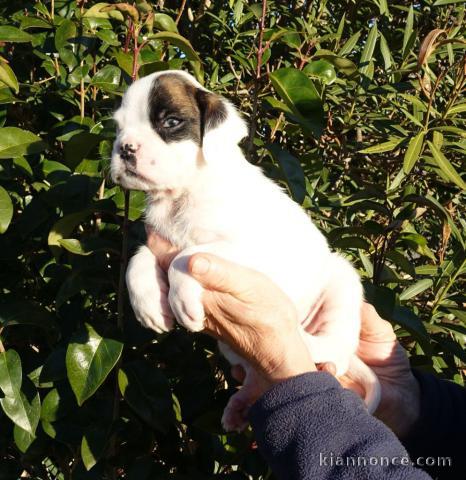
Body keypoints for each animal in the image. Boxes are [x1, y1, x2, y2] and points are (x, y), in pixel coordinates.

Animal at [111, 68, 380, 432]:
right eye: (118, 126)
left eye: (170, 122)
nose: (124, 148)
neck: (183, 193)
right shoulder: (159, 240)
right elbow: (137, 260)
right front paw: (148, 305)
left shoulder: (250, 249)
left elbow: (187, 255)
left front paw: (181, 299)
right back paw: (240, 406)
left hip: (342, 281)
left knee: (335, 344)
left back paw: (309, 342)